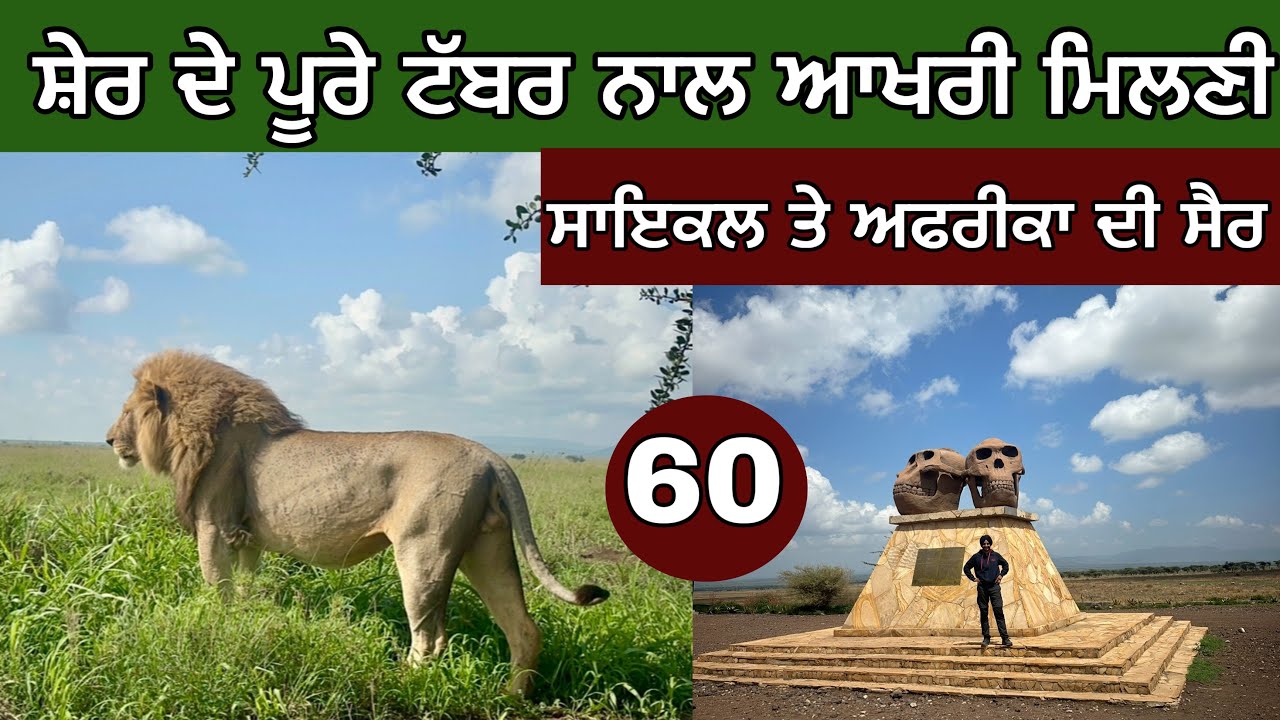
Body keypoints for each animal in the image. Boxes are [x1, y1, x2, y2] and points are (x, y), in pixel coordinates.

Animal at [106, 350, 609, 697]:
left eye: (127, 411)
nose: (109, 440)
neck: (194, 429)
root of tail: (491, 456)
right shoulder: (247, 538)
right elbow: (247, 587)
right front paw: (247, 618)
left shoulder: (214, 526)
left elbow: (217, 588)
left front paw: (216, 624)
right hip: (488, 550)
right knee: (523, 628)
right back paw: (512, 696)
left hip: (424, 551)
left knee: (431, 637)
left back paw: (401, 683)